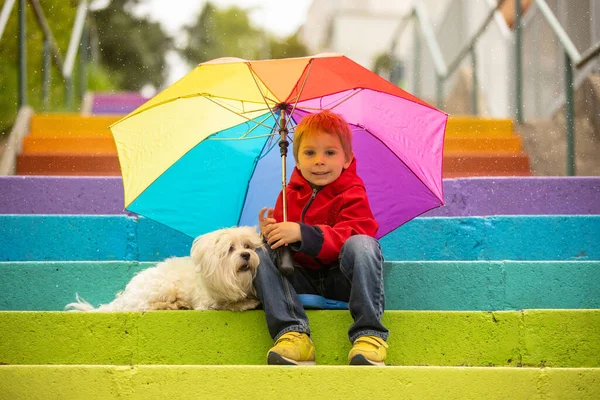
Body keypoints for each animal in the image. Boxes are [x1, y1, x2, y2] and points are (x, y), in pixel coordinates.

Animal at [65, 227, 262, 310]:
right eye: (230, 249)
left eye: (248, 246)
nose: (246, 255)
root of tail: (124, 297)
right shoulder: (207, 302)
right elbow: (226, 304)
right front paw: (245, 303)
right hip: (163, 287)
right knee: (145, 306)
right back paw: (173, 305)